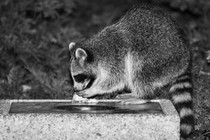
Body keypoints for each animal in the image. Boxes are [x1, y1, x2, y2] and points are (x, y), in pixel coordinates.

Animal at [68, 4, 194, 138]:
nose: (75, 88)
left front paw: (94, 89)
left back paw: (143, 96)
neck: (97, 52)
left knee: (138, 69)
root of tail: (185, 60)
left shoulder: (115, 58)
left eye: (77, 76)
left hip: (159, 55)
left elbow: (115, 80)